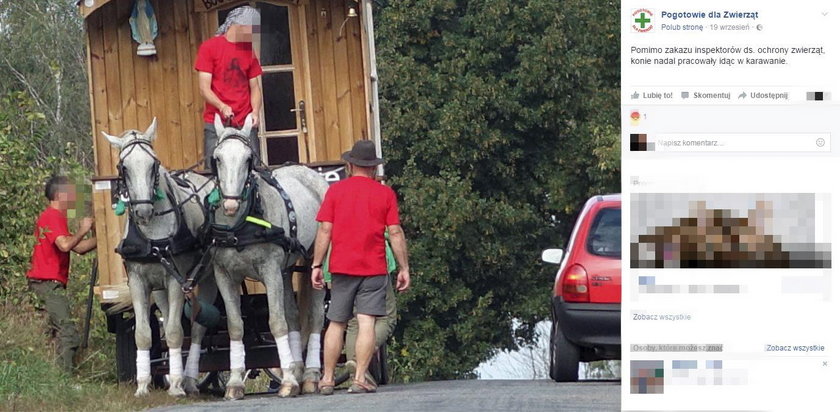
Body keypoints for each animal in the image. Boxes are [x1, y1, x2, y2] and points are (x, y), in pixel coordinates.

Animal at [102, 120, 218, 398]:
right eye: (123, 167)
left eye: (153, 163)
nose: (143, 211)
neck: (154, 234)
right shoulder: (137, 281)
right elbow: (144, 335)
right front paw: (143, 385)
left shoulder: (177, 281)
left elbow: (176, 332)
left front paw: (175, 384)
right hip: (160, 290)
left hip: (206, 278)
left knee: (196, 329)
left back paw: (189, 380)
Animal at [209, 113, 328, 400]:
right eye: (217, 158)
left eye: (247, 159)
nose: (230, 204)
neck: (240, 226)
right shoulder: (224, 275)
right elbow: (236, 326)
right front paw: (235, 382)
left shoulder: (270, 270)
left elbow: (276, 323)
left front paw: (288, 382)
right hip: (285, 271)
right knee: (294, 316)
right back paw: (296, 369)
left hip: (313, 264)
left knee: (316, 317)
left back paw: (309, 376)